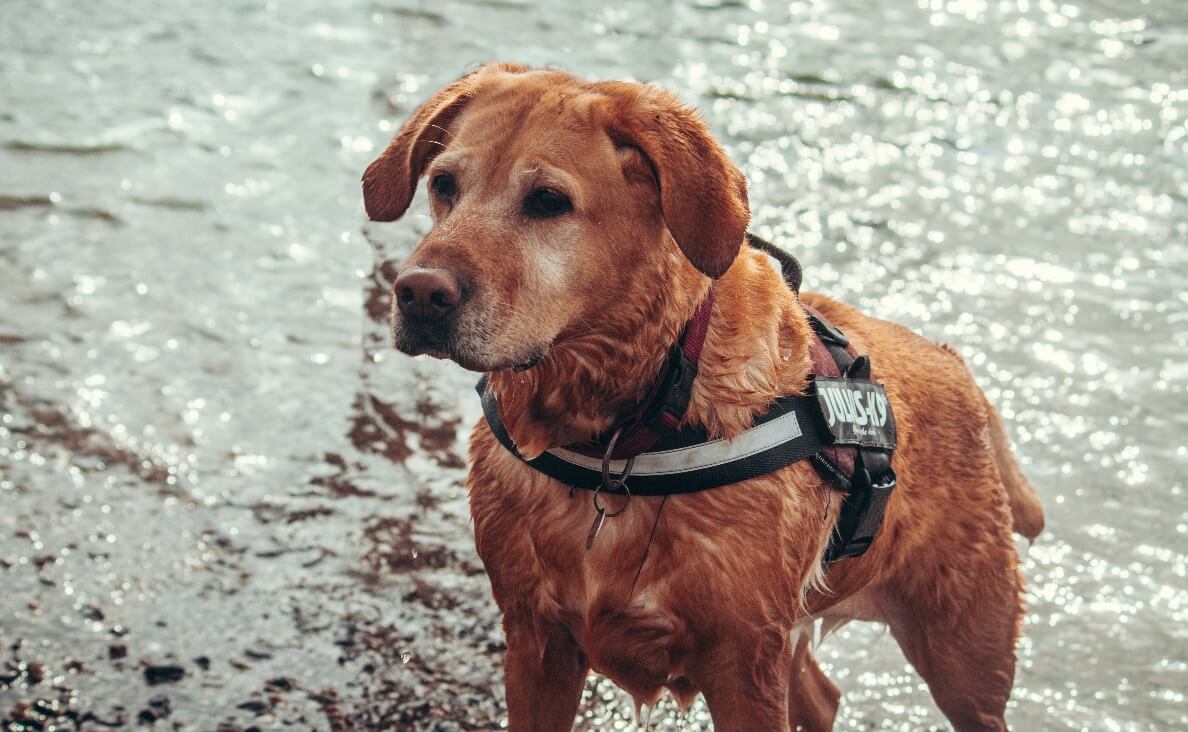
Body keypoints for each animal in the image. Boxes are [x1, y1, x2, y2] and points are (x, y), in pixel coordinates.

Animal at [358, 62, 1040, 732]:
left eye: (548, 201)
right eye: (444, 184)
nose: (418, 294)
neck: (623, 432)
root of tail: (956, 366)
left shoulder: (744, 665)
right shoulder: (536, 643)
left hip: (963, 656)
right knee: (823, 696)